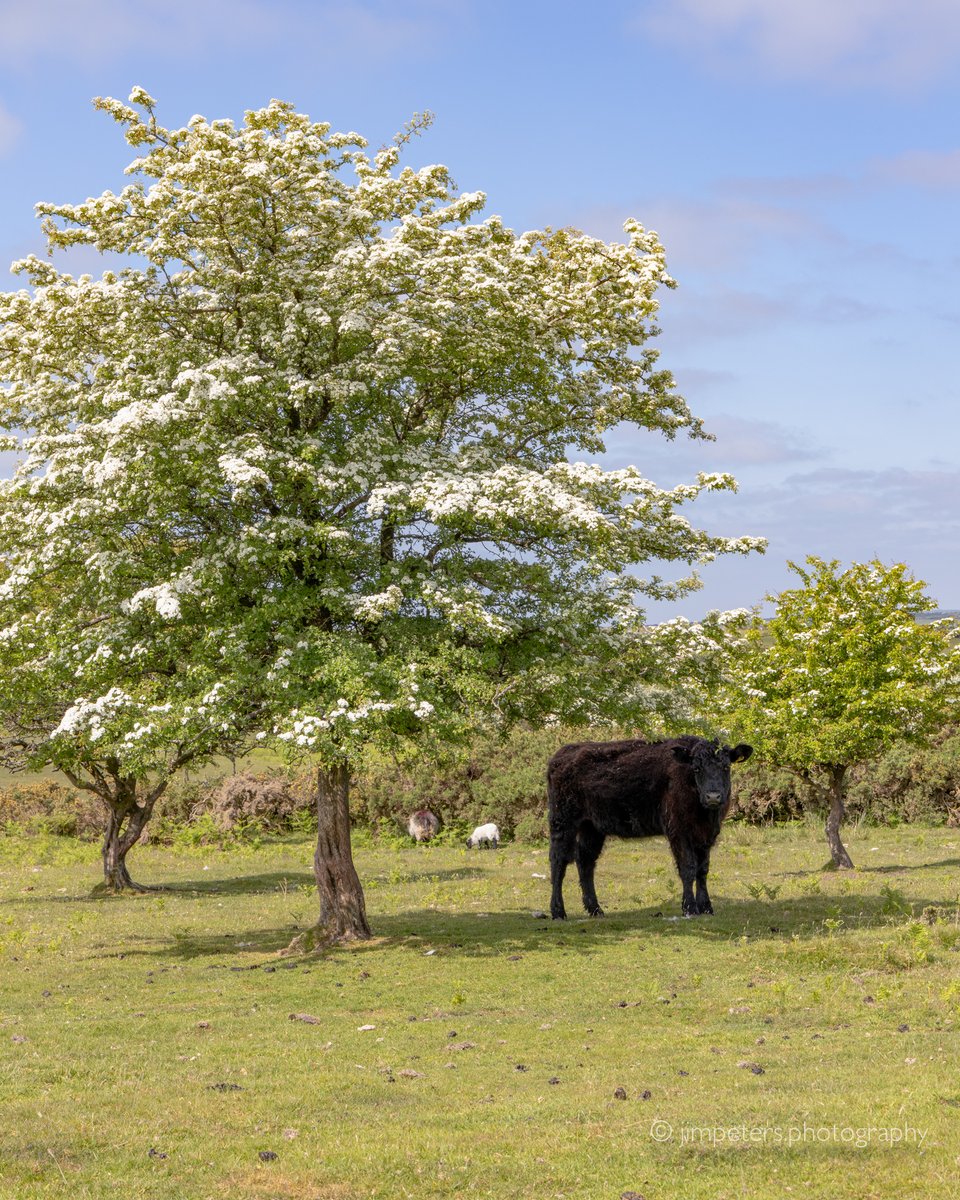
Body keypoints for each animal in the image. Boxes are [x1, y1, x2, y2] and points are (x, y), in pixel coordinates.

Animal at [544, 729, 753, 916]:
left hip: (592, 827)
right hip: (563, 821)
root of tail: (561, 755)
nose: (713, 796)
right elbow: (688, 868)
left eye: (726, 767)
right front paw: (690, 908)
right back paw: (558, 911)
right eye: (696, 768)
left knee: (585, 861)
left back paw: (595, 909)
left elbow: (702, 870)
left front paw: (707, 907)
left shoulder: (707, 835)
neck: (705, 815)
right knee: (558, 861)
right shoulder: (678, 831)